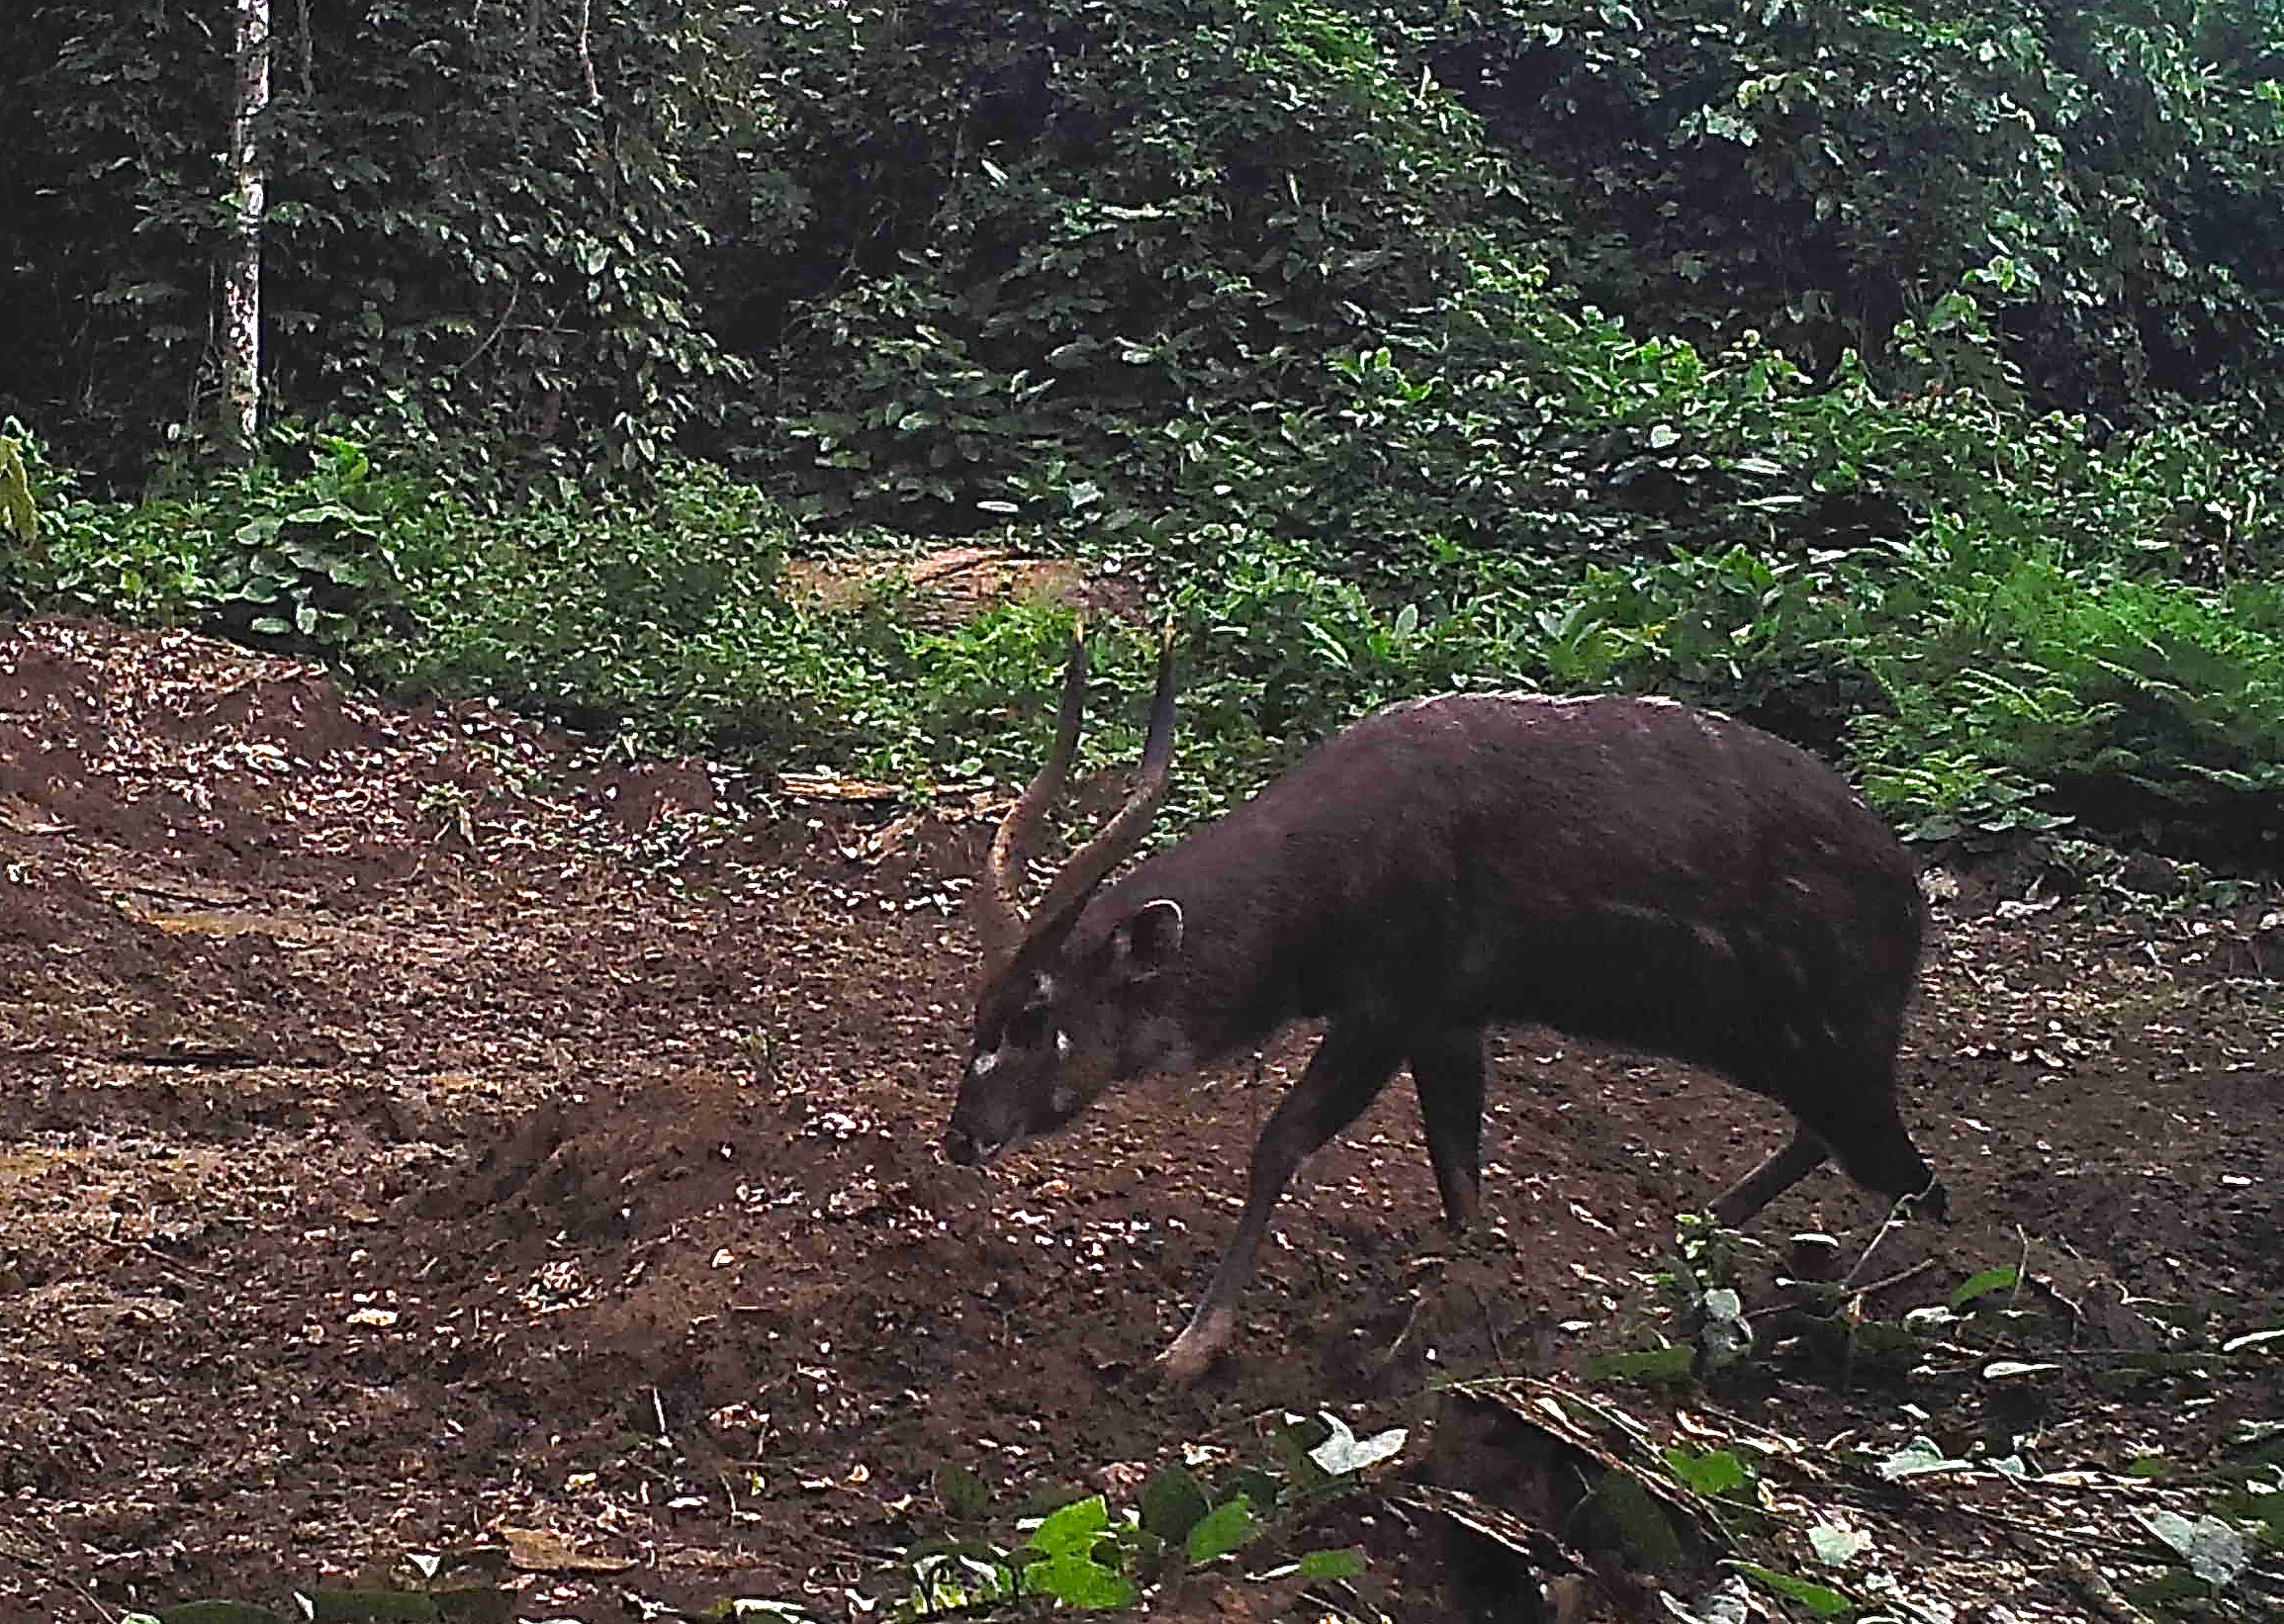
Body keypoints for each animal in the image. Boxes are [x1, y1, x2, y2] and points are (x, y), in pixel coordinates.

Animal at [945, 630, 1946, 1379]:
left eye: (1035, 1014)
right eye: (981, 1006)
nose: (962, 1138)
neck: (1324, 873)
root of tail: (1908, 893)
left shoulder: (1388, 1009)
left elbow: (1279, 1140)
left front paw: (1190, 1348)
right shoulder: (1446, 1025)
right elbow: (1459, 1177)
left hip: (1823, 1049)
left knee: (1912, 1179)